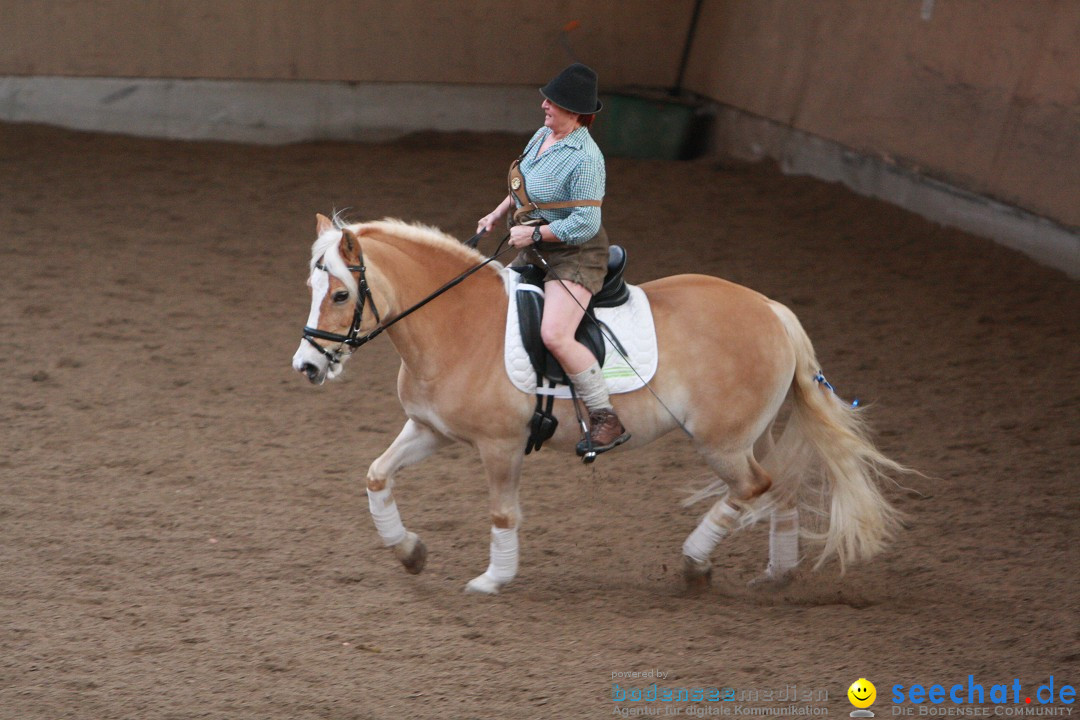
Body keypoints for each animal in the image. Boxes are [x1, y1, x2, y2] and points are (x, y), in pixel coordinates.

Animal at [291, 213, 907, 595]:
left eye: (341, 293)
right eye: (311, 289)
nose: (308, 366)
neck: (456, 323)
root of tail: (771, 309)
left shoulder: (500, 446)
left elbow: (502, 513)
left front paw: (493, 580)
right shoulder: (430, 429)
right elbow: (376, 476)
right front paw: (409, 552)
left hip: (722, 443)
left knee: (753, 487)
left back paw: (695, 562)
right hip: (751, 436)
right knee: (780, 490)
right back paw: (775, 576)